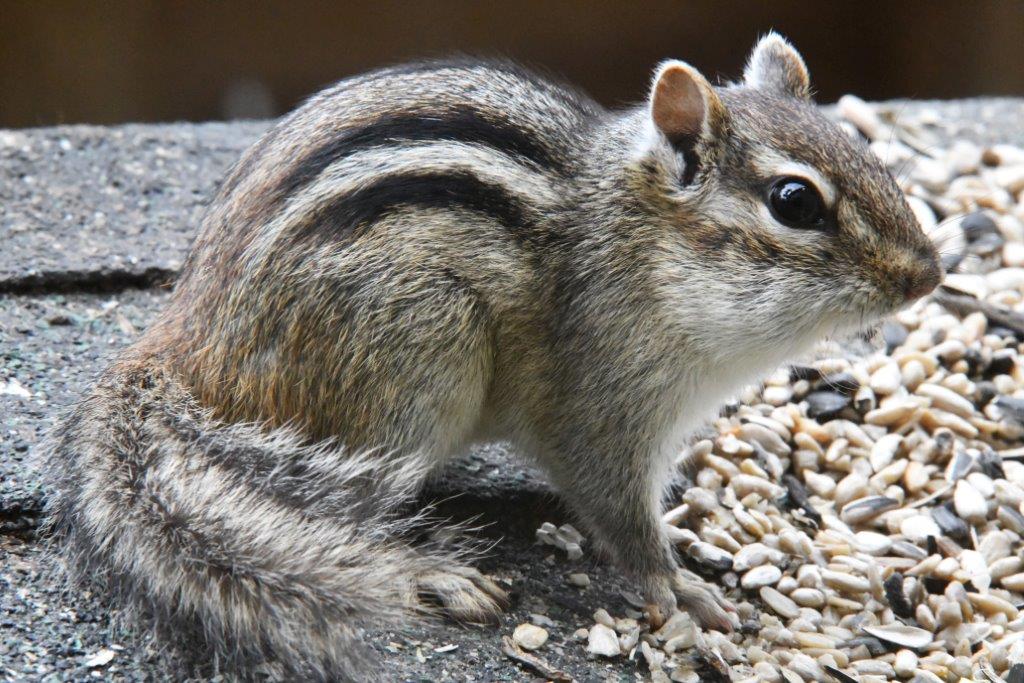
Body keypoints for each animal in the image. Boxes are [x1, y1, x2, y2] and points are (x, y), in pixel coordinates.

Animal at [43, 33, 942, 680]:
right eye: (795, 202)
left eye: (868, 150)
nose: (928, 275)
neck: (640, 244)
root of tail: (185, 345)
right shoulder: (600, 408)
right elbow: (621, 515)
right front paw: (681, 587)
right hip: (408, 365)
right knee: (331, 516)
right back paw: (430, 573)